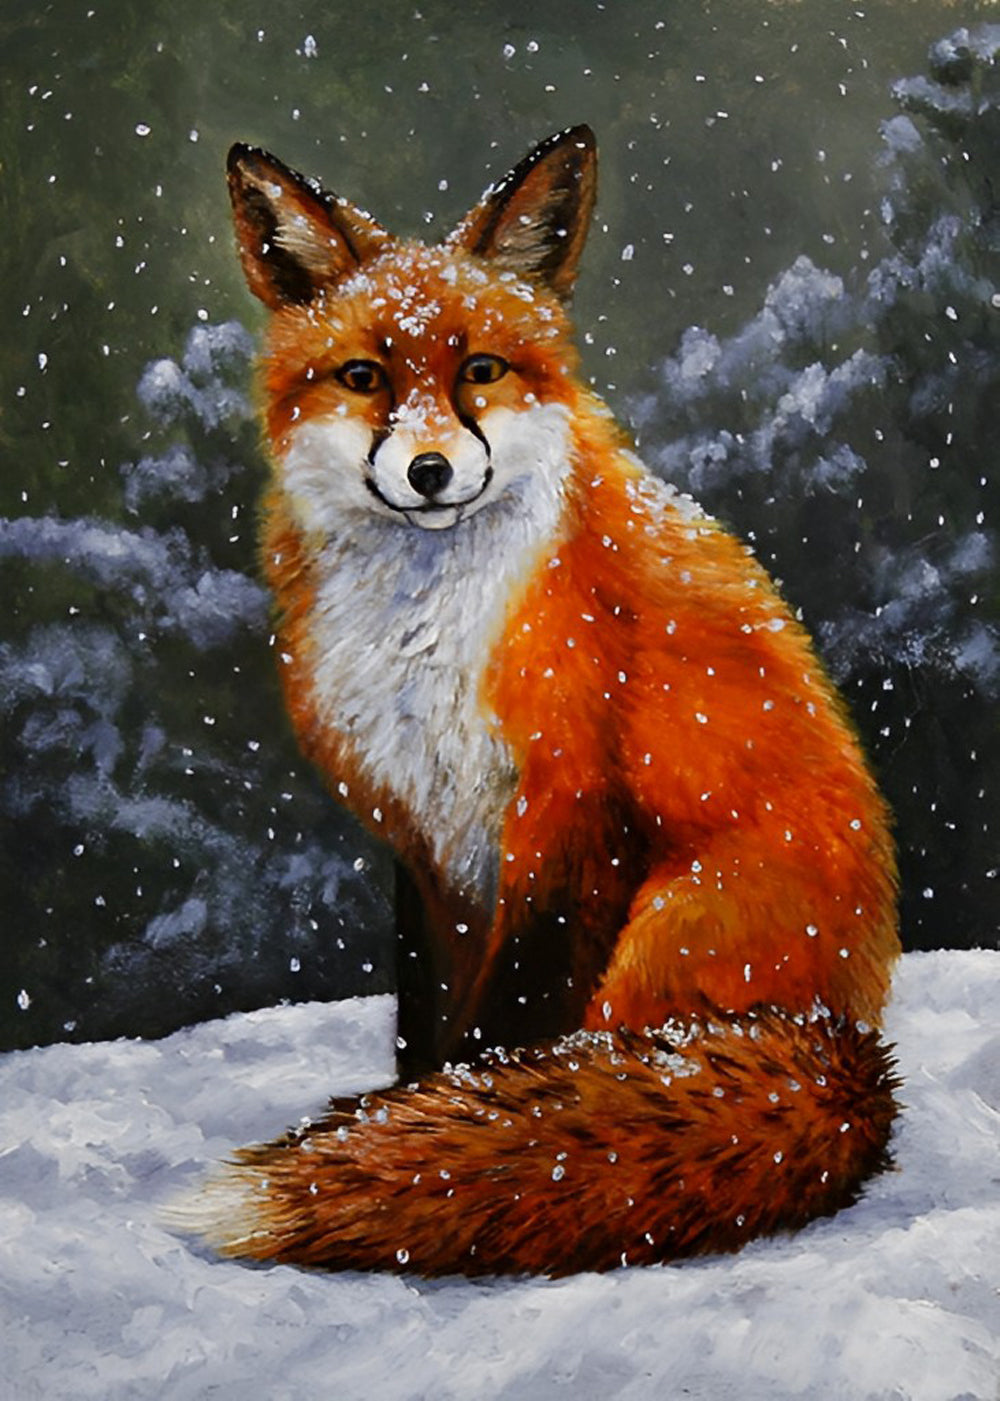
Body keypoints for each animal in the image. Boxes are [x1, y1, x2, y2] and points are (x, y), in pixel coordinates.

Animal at [197, 125, 900, 1276]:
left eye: (480, 370)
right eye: (363, 377)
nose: (431, 472)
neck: (426, 633)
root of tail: (852, 1041)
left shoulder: (572, 811)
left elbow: (506, 1027)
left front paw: (432, 1148)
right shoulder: (427, 835)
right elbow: (430, 1021)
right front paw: (408, 1120)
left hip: (669, 928)